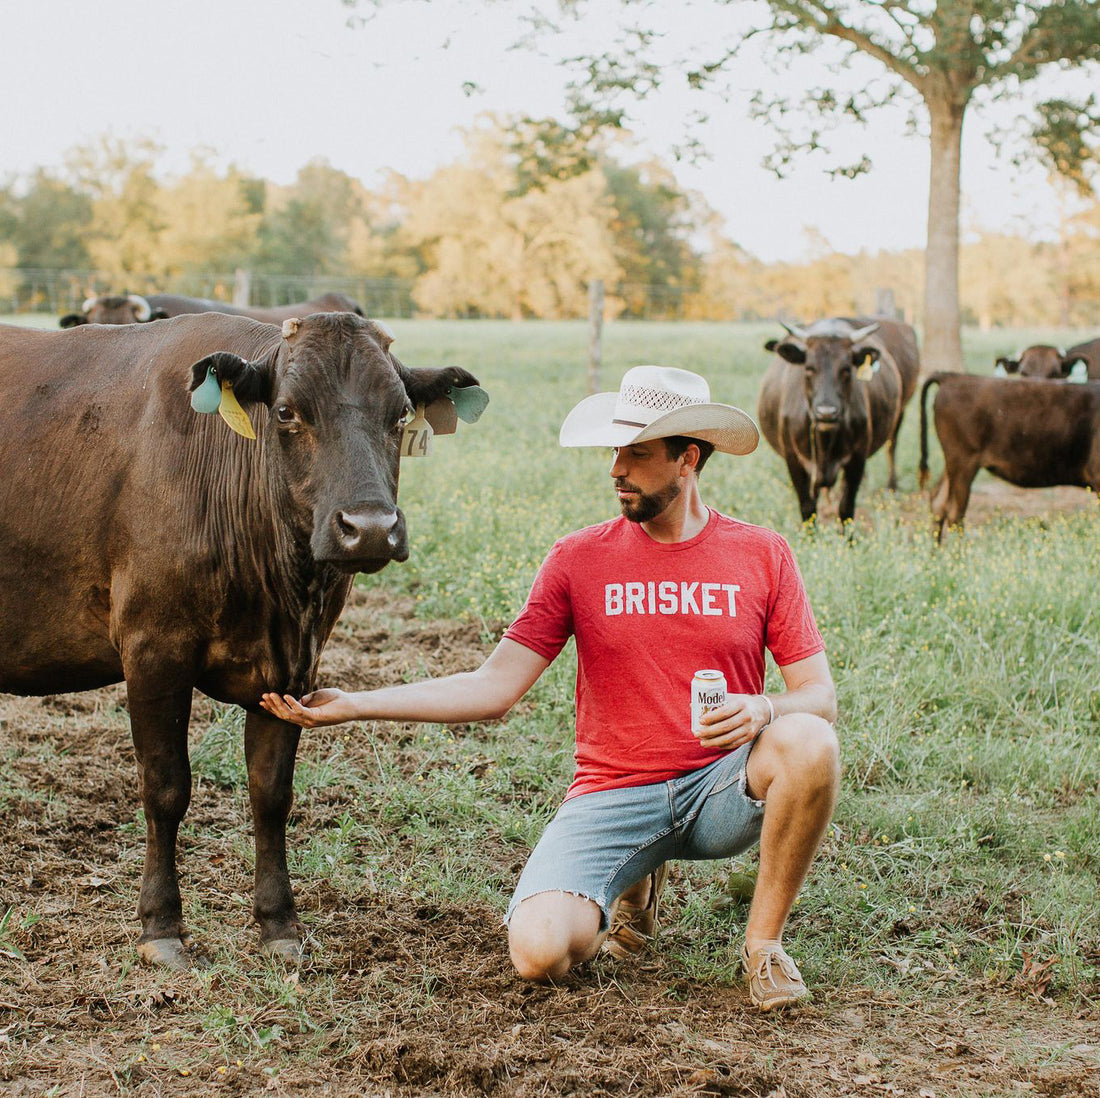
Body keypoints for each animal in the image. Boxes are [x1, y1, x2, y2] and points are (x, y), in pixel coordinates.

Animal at [0, 312, 481, 972]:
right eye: (286, 412)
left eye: (401, 412)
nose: (369, 529)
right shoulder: (152, 650)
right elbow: (166, 786)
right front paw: (161, 927)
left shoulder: (293, 668)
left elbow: (270, 792)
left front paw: (279, 924)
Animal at [756, 316, 919, 525]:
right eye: (809, 369)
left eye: (846, 370)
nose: (826, 412)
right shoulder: (793, 459)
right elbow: (808, 508)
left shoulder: (857, 458)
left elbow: (846, 508)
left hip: (900, 411)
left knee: (892, 445)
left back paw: (892, 488)